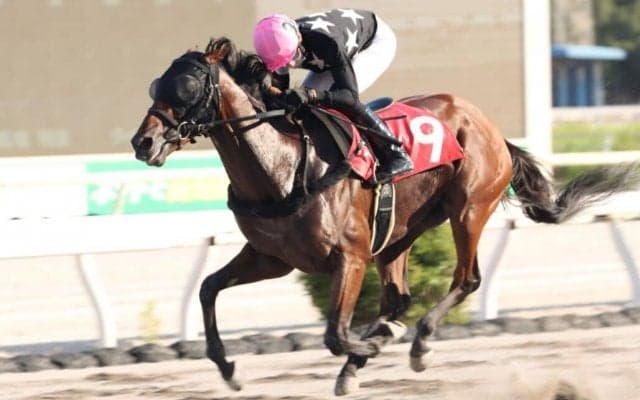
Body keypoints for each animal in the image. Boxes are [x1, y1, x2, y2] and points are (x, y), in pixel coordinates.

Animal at [130, 38, 639, 396]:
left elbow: (336, 333)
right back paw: (379, 344)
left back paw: (417, 344)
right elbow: (208, 288)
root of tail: (491, 127)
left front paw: (369, 346)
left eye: (188, 86)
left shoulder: (350, 257)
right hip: (399, 233)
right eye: (156, 84)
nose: (143, 142)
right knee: (398, 298)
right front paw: (229, 368)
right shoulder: (272, 257)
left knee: (466, 279)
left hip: (469, 208)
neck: (283, 167)